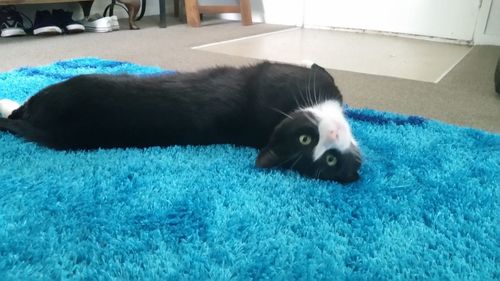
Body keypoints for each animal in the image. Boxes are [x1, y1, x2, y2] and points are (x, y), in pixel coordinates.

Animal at [0, 61, 362, 183]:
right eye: (306, 140)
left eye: (330, 161)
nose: (333, 132)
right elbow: (321, 72)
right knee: (23, 107)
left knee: (22, 111)